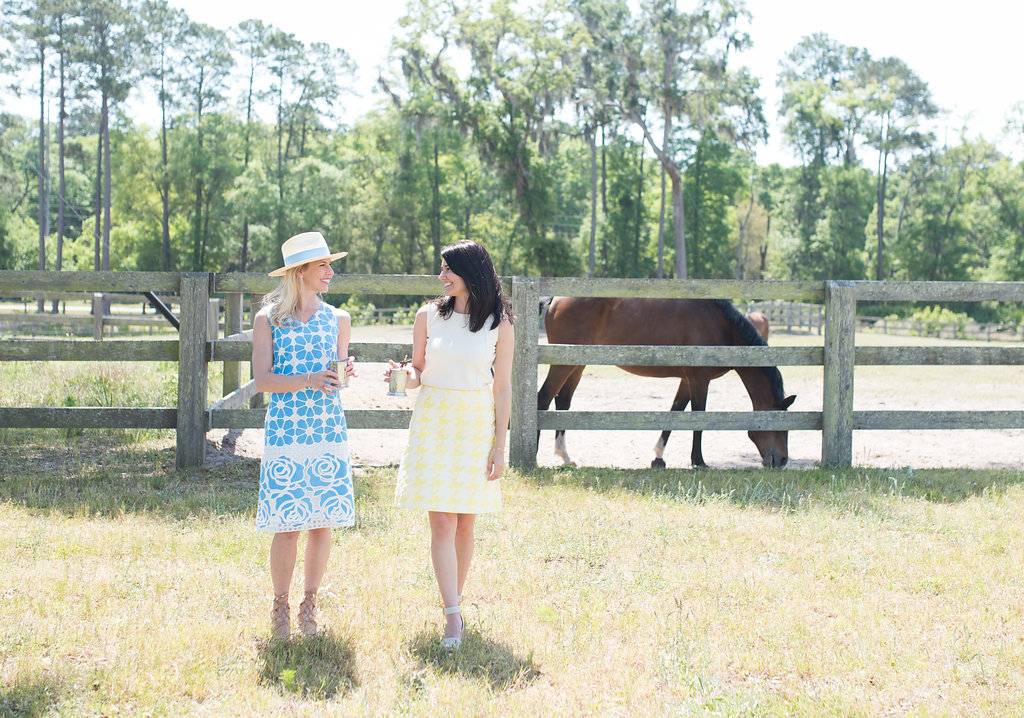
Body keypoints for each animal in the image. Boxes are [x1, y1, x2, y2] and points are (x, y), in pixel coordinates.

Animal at [540, 294, 794, 467]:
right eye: (781, 427)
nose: (782, 460)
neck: (722, 327)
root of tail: (555, 300)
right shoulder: (699, 379)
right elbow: (698, 418)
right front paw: (698, 461)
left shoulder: (687, 380)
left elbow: (675, 412)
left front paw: (658, 458)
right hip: (563, 365)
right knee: (544, 397)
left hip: (577, 364)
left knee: (563, 401)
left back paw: (565, 457)